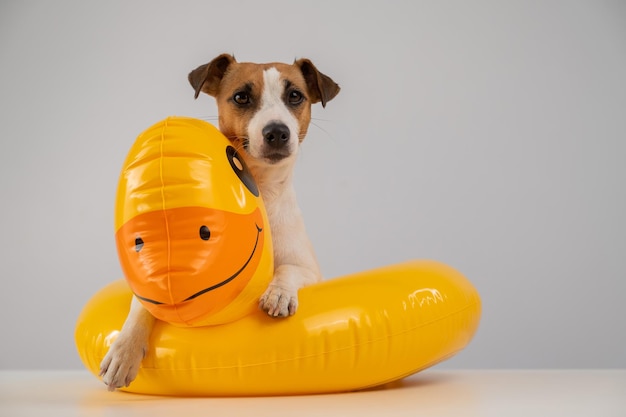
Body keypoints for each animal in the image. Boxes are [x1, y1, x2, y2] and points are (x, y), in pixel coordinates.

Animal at [99, 53, 338, 388]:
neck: (263, 190)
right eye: (241, 97)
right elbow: (141, 306)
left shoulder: (309, 270)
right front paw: (124, 349)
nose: (277, 132)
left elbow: (288, 269)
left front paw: (278, 293)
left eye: (295, 96)